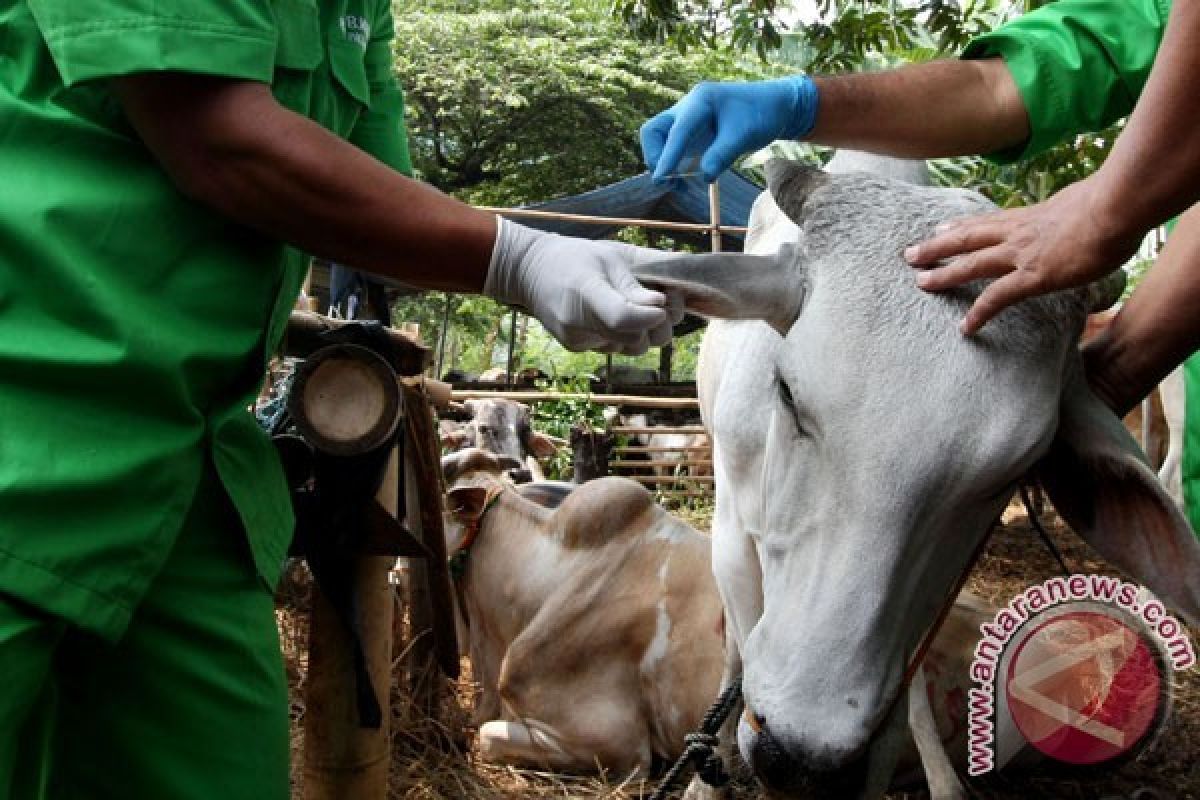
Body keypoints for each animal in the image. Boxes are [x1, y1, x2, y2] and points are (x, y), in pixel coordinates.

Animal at [628, 153, 1200, 796]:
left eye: (1015, 471)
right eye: (788, 394)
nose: (796, 759)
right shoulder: (731, 527)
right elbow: (739, 644)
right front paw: (709, 771)